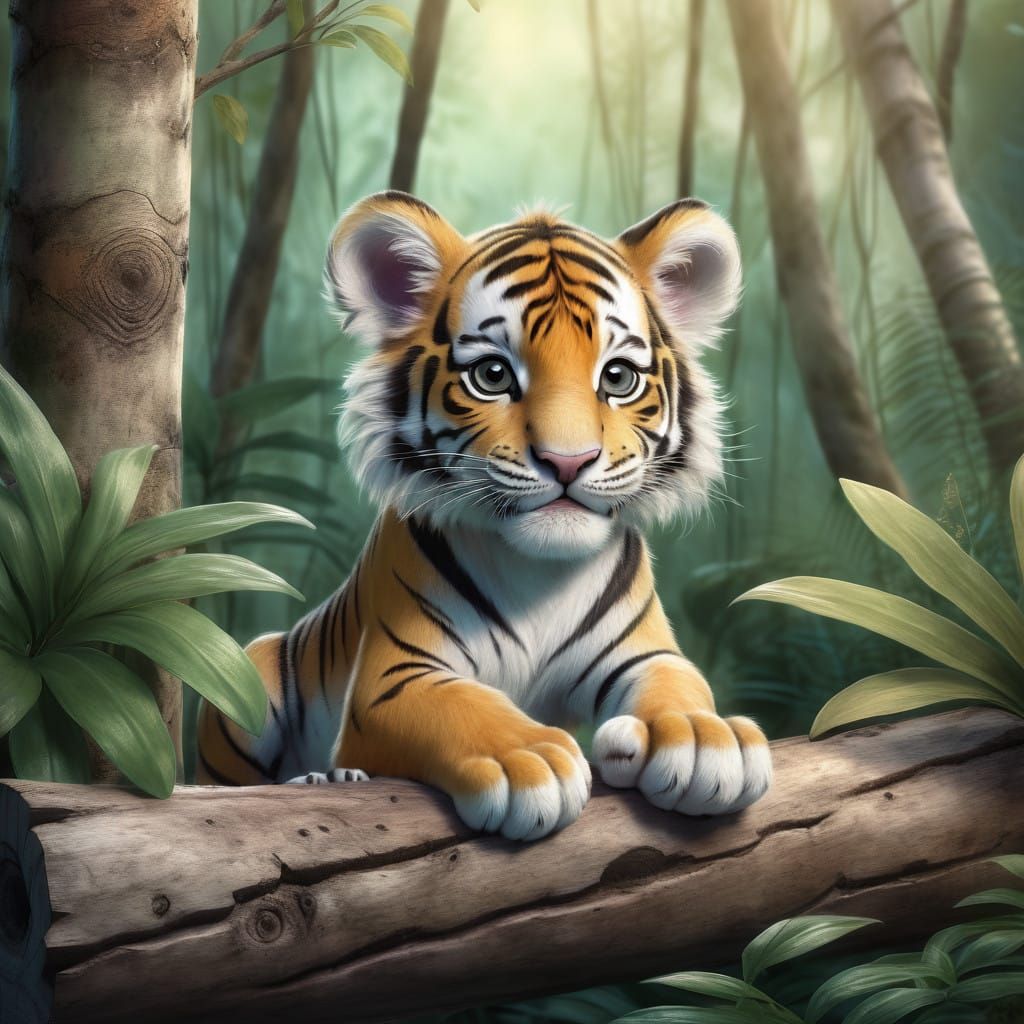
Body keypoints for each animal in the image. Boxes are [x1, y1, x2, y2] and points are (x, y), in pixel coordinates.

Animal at [196, 189, 772, 841]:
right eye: (492, 375)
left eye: (618, 378)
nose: (568, 461)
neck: (540, 573)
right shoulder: (397, 677)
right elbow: (461, 704)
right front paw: (528, 759)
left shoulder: (642, 653)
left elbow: (681, 682)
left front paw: (703, 739)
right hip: (246, 675)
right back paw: (321, 779)